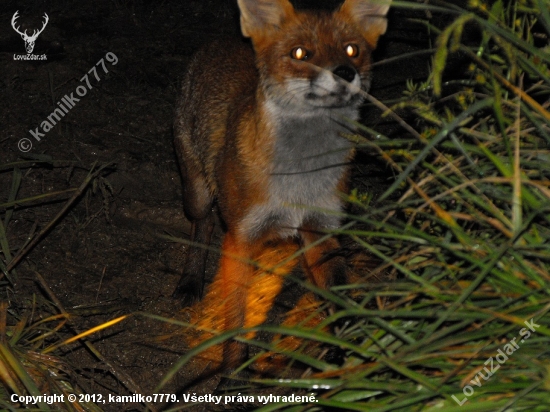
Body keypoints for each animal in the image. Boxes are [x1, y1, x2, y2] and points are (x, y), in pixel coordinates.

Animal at [174, 0, 392, 370]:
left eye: (352, 49)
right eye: (301, 53)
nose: (345, 72)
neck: (301, 178)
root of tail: (221, 41)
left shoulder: (322, 228)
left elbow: (338, 296)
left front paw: (342, 353)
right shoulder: (241, 237)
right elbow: (236, 322)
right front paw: (232, 375)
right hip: (197, 193)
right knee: (203, 224)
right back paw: (191, 278)